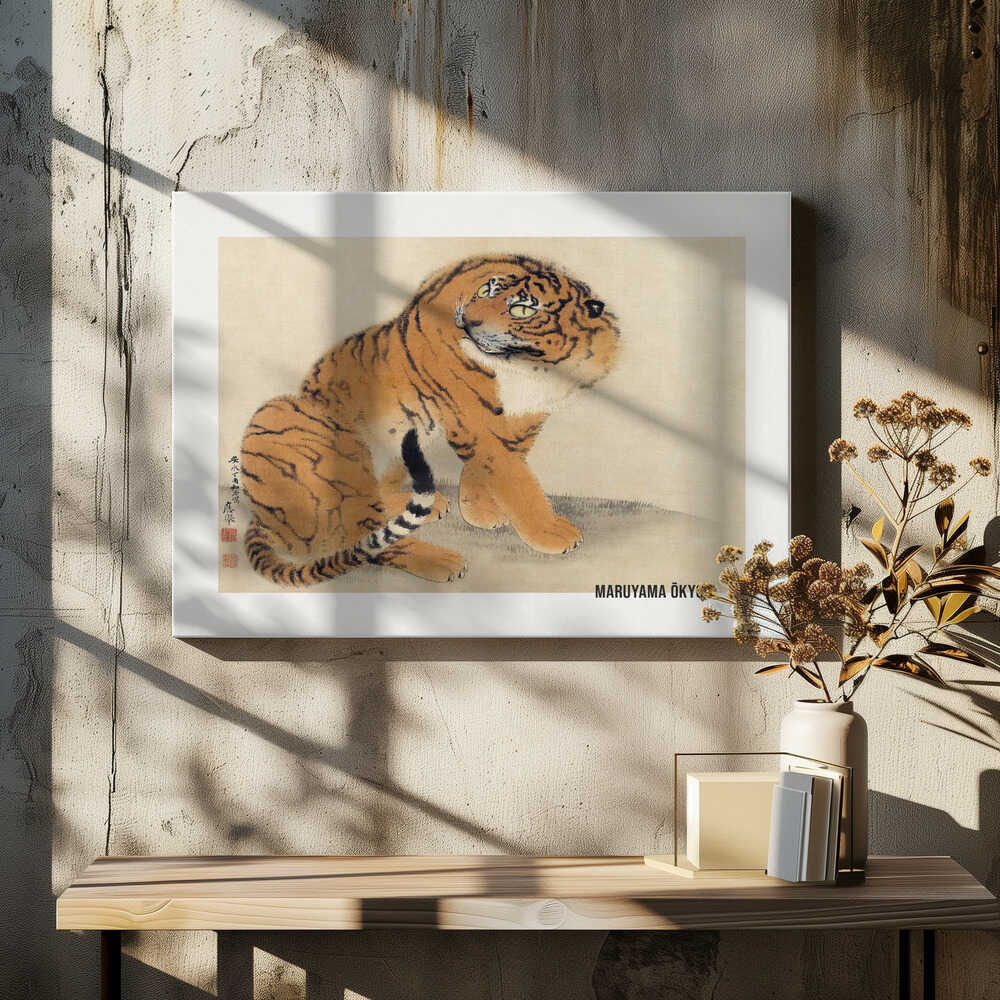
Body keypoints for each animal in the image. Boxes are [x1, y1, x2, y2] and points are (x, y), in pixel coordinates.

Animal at [240, 253, 621, 586]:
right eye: (486, 291)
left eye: (522, 309)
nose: (467, 320)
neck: (531, 367)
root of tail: (262, 517)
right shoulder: (473, 416)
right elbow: (514, 479)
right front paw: (551, 532)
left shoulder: (527, 417)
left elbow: (498, 467)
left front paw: (481, 511)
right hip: (303, 426)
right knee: (363, 538)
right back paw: (443, 561)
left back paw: (431, 504)